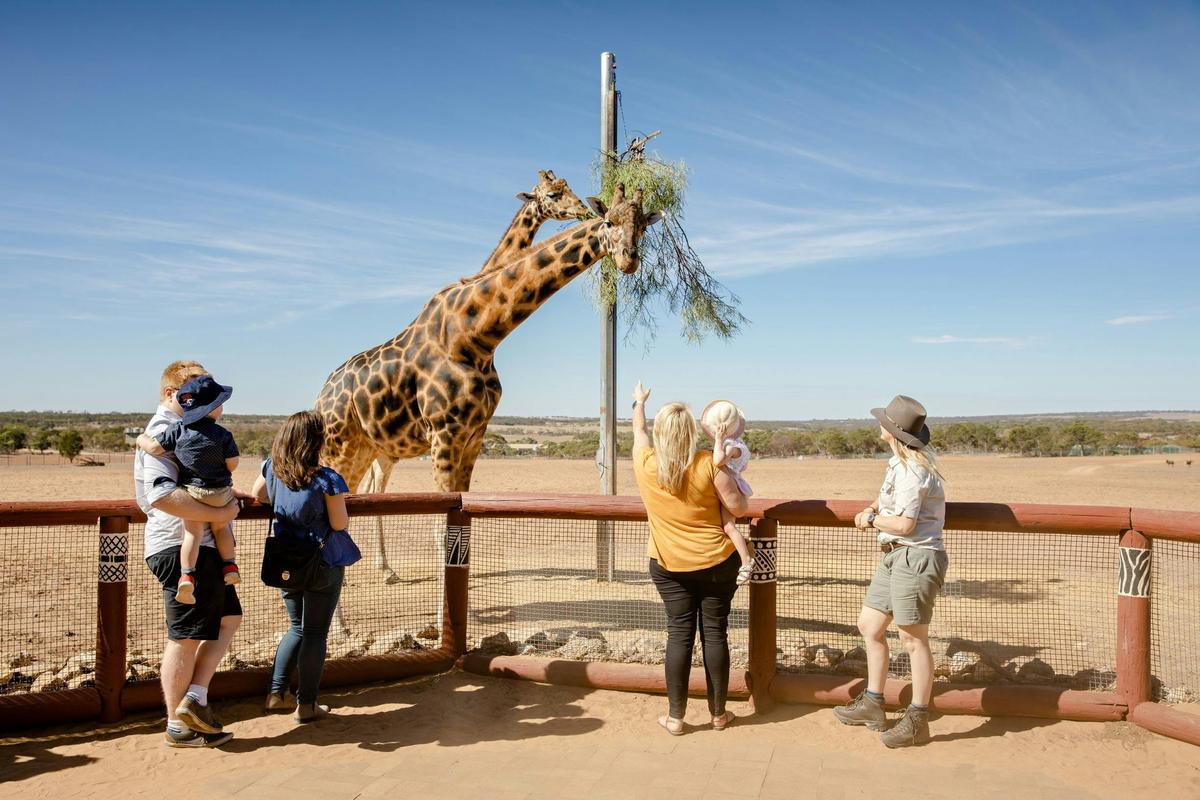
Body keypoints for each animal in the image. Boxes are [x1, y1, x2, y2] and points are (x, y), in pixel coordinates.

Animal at [316, 184, 661, 588]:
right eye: (608, 221)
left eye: (643, 226)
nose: (628, 260)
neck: (477, 337)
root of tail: (322, 395)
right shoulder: (443, 434)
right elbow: (442, 525)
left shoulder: (474, 435)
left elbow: (462, 517)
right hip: (340, 445)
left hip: (370, 447)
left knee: (362, 494)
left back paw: (380, 572)